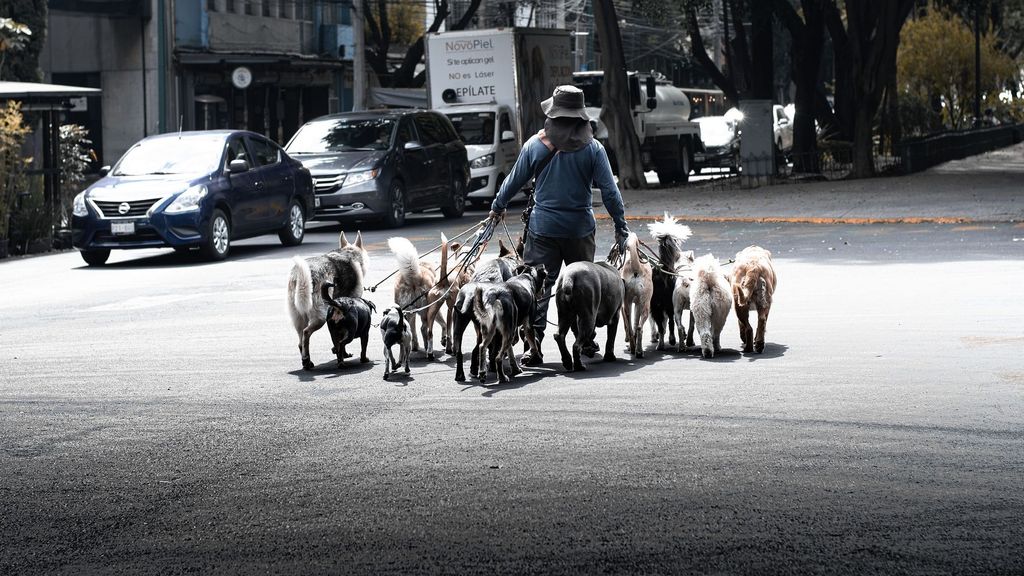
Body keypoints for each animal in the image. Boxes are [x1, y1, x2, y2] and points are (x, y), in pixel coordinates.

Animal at [288, 230, 368, 368]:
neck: (348, 253)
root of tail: (300, 276)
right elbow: (341, 341)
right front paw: (343, 354)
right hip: (320, 317)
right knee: (306, 333)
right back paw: (306, 360)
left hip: (299, 317)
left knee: (300, 340)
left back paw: (306, 361)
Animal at [647, 213, 696, 348]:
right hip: (671, 306)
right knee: (672, 324)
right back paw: (675, 341)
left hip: (661, 305)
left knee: (665, 325)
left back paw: (664, 344)